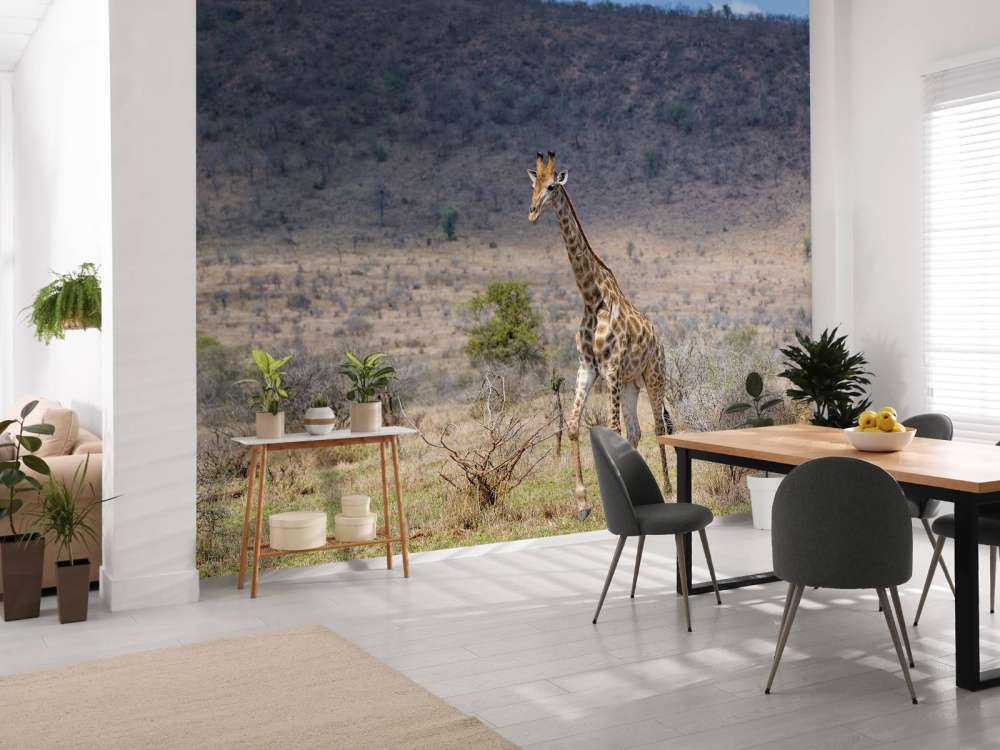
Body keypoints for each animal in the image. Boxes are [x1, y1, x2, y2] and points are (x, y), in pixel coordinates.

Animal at [528, 152, 675, 521]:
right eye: (533, 185)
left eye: (552, 187)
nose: (532, 212)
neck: (592, 298)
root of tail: (660, 339)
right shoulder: (587, 368)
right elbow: (574, 426)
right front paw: (582, 503)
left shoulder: (609, 369)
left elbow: (612, 429)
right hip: (632, 383)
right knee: (636, 432)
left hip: (654, 376)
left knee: (659, 427)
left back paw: (667, 489)